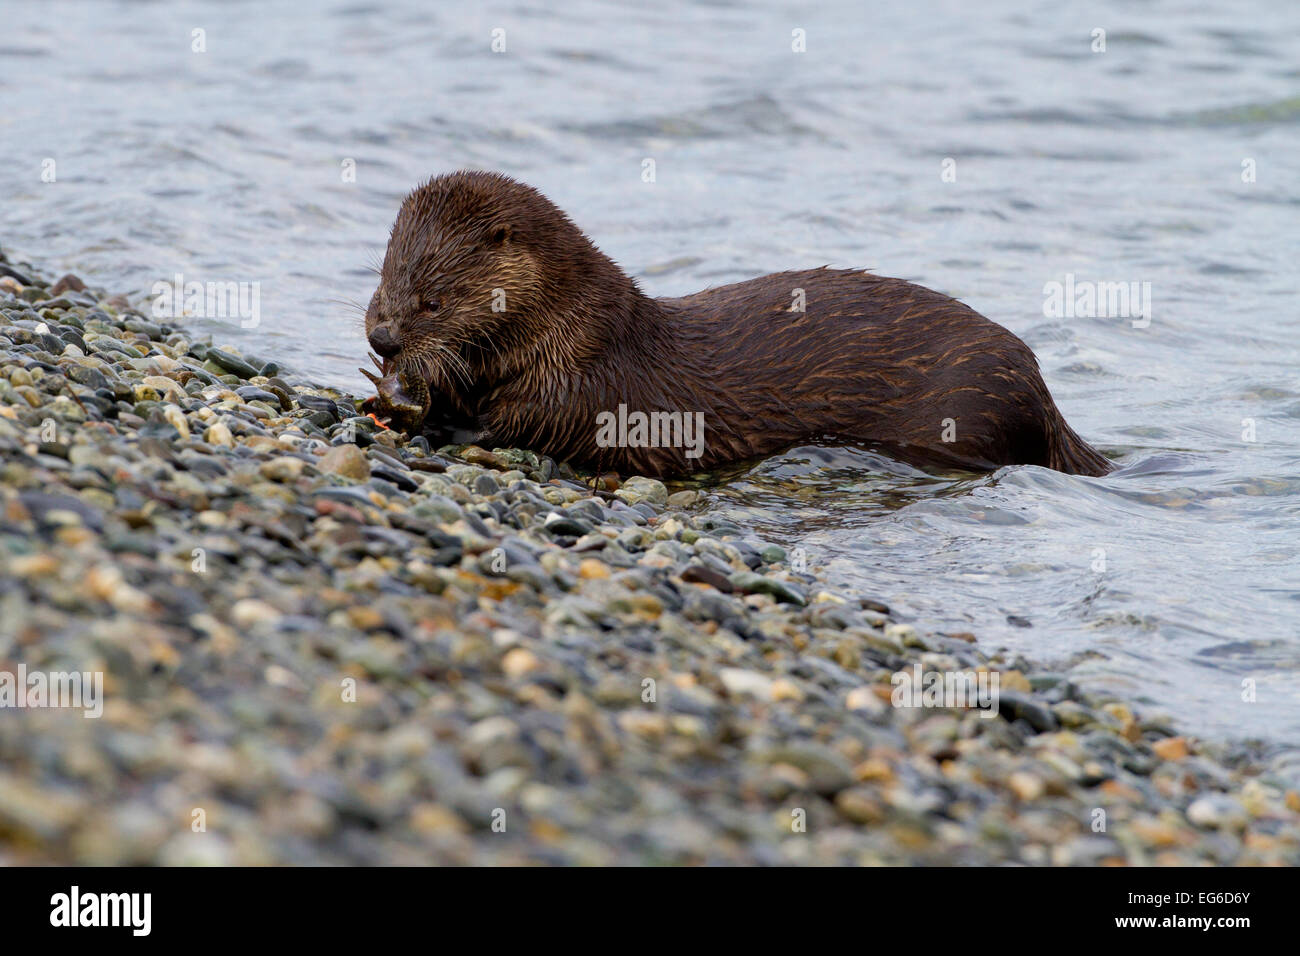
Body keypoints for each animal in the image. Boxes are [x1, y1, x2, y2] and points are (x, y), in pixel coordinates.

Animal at [361, 171, 1112, 478]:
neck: (573, 332)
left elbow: (534, 423)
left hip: (976, 404)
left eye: (431, 300)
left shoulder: (591, 383)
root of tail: (1044, 392)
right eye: (382, 279)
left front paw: (425, 411)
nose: (381, 338)